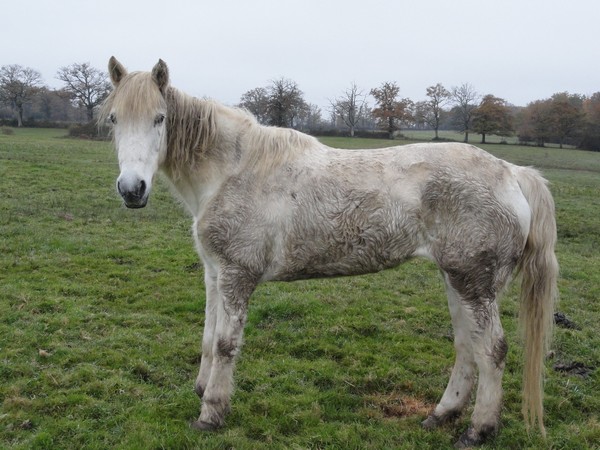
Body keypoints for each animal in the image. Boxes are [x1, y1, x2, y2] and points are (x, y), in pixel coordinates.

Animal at [99, 58, 556, 448]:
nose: (132, 189)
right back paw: (441, 414)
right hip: (457, 279)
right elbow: (209, 338)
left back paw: (479, 430)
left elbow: (226, 344)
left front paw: (211, 413)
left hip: (474, 284)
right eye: (115, 118)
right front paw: (202, 390)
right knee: (467, 347)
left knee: (492, 350)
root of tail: (513, 174)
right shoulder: (214, 273)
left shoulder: (236, 276)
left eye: (159, 118)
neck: (233, 171)